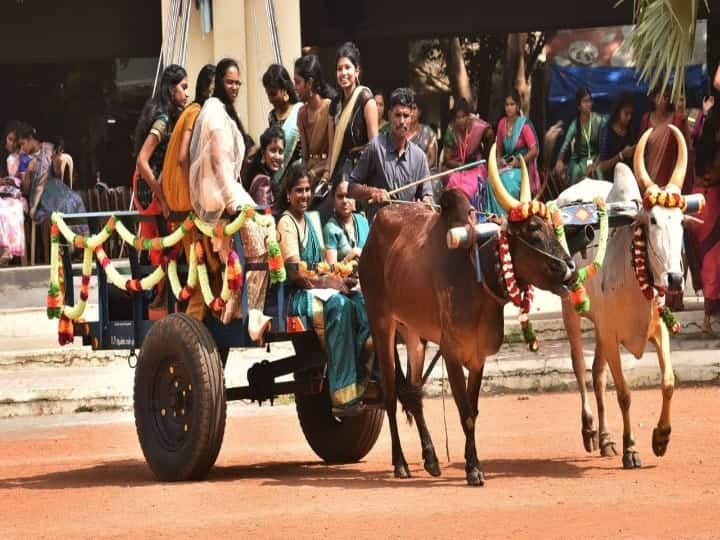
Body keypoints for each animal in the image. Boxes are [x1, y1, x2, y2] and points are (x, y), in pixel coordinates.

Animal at [360, 147, 580, 486]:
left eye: (551, 227)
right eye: (533, 232)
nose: (569, 269)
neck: (479, 280)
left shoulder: (478, 357)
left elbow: (472, 412)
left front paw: (469, 461)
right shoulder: (452, 352)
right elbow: (464, 413)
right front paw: (473, 468)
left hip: (414, 334)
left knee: (413, 392)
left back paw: (431, 458)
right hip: (381, 322)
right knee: (390, 394)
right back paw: (400, 463)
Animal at [556, 126, 696, 468]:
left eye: (681, 221)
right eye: (653, 220)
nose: (674, 279)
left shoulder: (657, 330)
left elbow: (668, 382)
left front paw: (661, 438)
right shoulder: (611, 334)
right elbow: (625, 394)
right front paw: (631, 448)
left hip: (600, 328)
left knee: (597, 374)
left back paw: (606, 439)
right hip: (571, 312)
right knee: (580, 368)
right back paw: (589, 430)